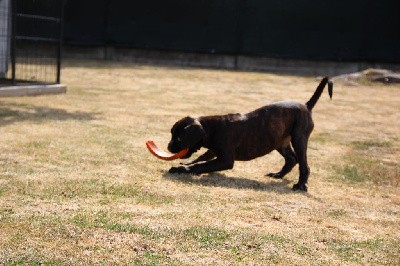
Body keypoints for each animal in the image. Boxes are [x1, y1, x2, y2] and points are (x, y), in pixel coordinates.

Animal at [166, 77, 332, 191]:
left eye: (178, 137)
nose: (168, 147)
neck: (210, 128)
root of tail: (306, 106)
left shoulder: (225, 159)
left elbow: (202, 164)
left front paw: (182, 170)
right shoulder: (214, 151)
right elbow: (201, 158)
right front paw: (186, 164)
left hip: (299, 138)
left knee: (304, 164)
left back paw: (301, 186)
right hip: (280, 141)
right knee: (291, 159)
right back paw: (278, 175)